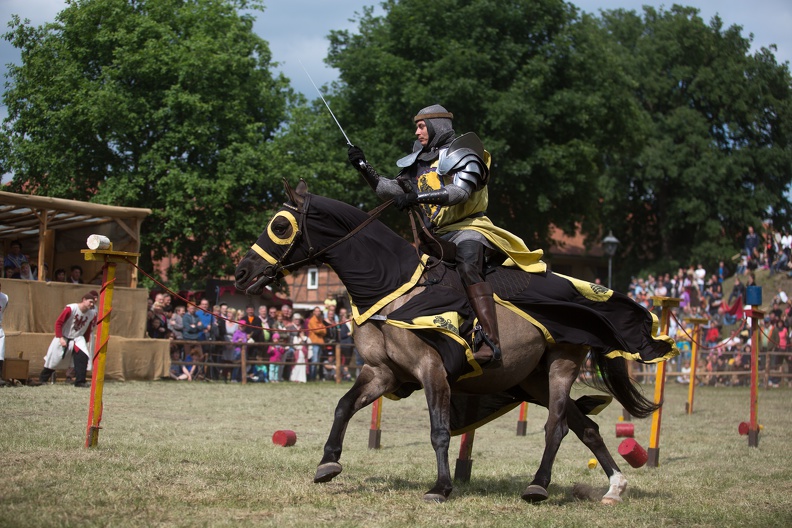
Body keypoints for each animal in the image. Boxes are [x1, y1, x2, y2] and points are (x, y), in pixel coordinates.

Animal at [235, 180, 676, 504]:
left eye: (280, 226)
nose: (242, 273)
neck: (394, 286)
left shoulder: (432, 371)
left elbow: (439, 430)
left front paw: (441, 487)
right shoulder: (380, 373)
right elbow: (344, 406)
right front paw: (328, 463)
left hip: (561, 367)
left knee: (557, 427)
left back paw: (538, 486)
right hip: (532, 380)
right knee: (585, 426)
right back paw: (615, 487)